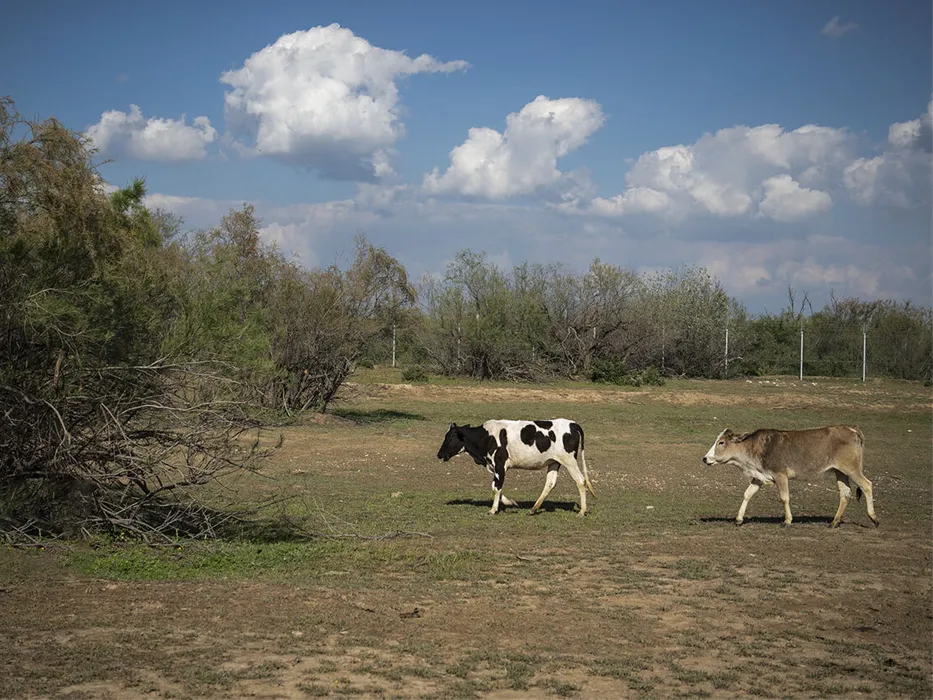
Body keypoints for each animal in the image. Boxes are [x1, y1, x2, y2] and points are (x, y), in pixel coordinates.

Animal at [434, 418, 592, 516]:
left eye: (450, 437)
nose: (439, 454)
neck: (486, 437)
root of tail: (573, 424)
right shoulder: (495, 467)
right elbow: (496, 486)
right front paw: (510, 502)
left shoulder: (499, 464)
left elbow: (496, 487)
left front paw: (493, 510)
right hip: (554, 462)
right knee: (550, 483)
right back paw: (533, 509)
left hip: (569, 461)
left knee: (580, 481)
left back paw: (582, 511)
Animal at [704, 424, 876, 528]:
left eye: (721, 442)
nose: (705, 458)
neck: (757, 448)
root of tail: (852, 429)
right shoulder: (759, 477)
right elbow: (747, 494)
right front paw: (739, 519)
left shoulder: (780, 475)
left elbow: (784, 497)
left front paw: (787, 520)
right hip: (840, 471)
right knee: (845, 493)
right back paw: (834, 522)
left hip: (851, 469)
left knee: (866, 485)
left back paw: (873, 518)